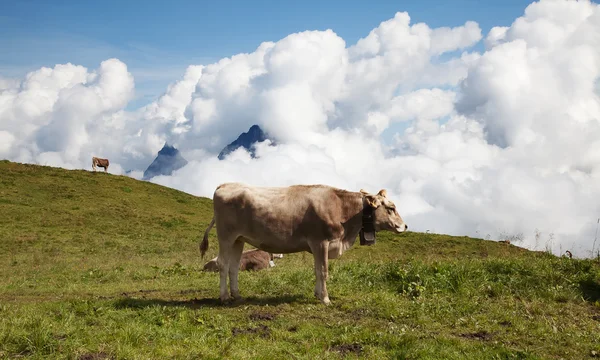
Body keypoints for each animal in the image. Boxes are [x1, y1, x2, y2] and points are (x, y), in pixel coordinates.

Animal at [198, 184, 408, 306]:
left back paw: (237, 295)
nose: (405, 226)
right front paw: (325, 299)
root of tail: (225, 185)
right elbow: (323, 271)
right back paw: (225, 297)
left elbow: (316, 270)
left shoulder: (318, 246)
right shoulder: (320, 242)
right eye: (391, 208)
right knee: (223, 264)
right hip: (226, 236)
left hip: (238, 239)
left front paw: (317, 294)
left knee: (233, 267)